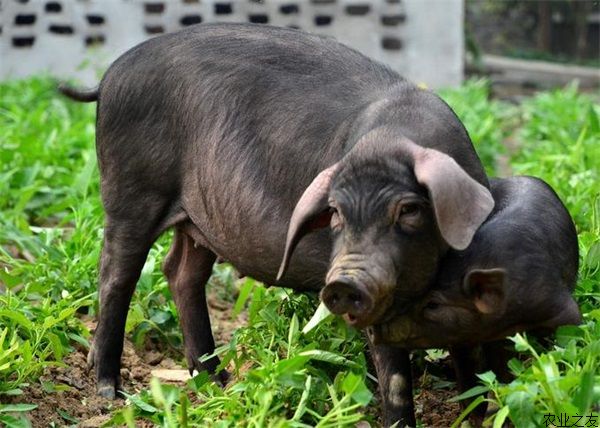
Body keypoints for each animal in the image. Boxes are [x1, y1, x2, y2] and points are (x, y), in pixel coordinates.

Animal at [59, 23, 496, 424]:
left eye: (409, 210)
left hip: (200, 218)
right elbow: (396, 377)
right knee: (115, 275)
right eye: (335, 213)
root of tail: (110, 76)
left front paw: (476, 415)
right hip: (132, 191)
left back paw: (217, 381)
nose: (344, 283)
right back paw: (110, 391)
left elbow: (471, 364)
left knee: (180, 272)